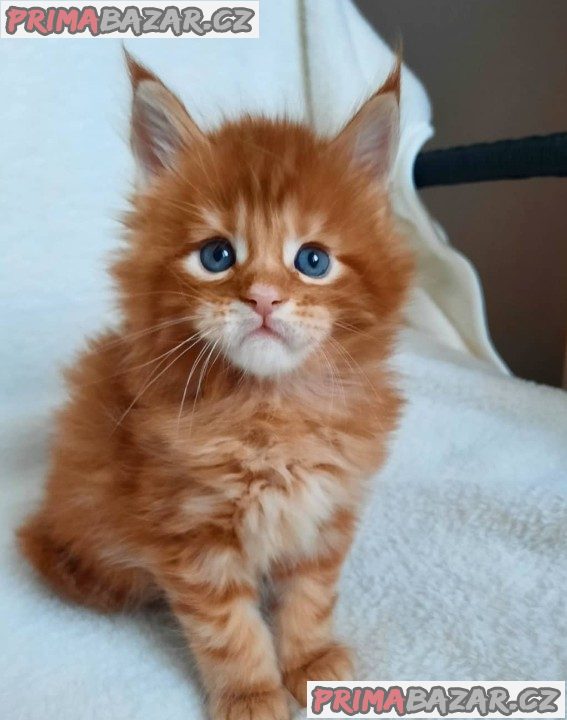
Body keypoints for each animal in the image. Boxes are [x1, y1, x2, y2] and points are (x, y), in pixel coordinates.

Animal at [18, 54, 412, 720]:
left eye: (312, 260)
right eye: (217, 255)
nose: (263, 298)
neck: (270, 413)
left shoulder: (325, 512)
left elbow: (311, 597)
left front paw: (310, 662)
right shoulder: (190, 532)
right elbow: (229, 630)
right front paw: (253, 693)